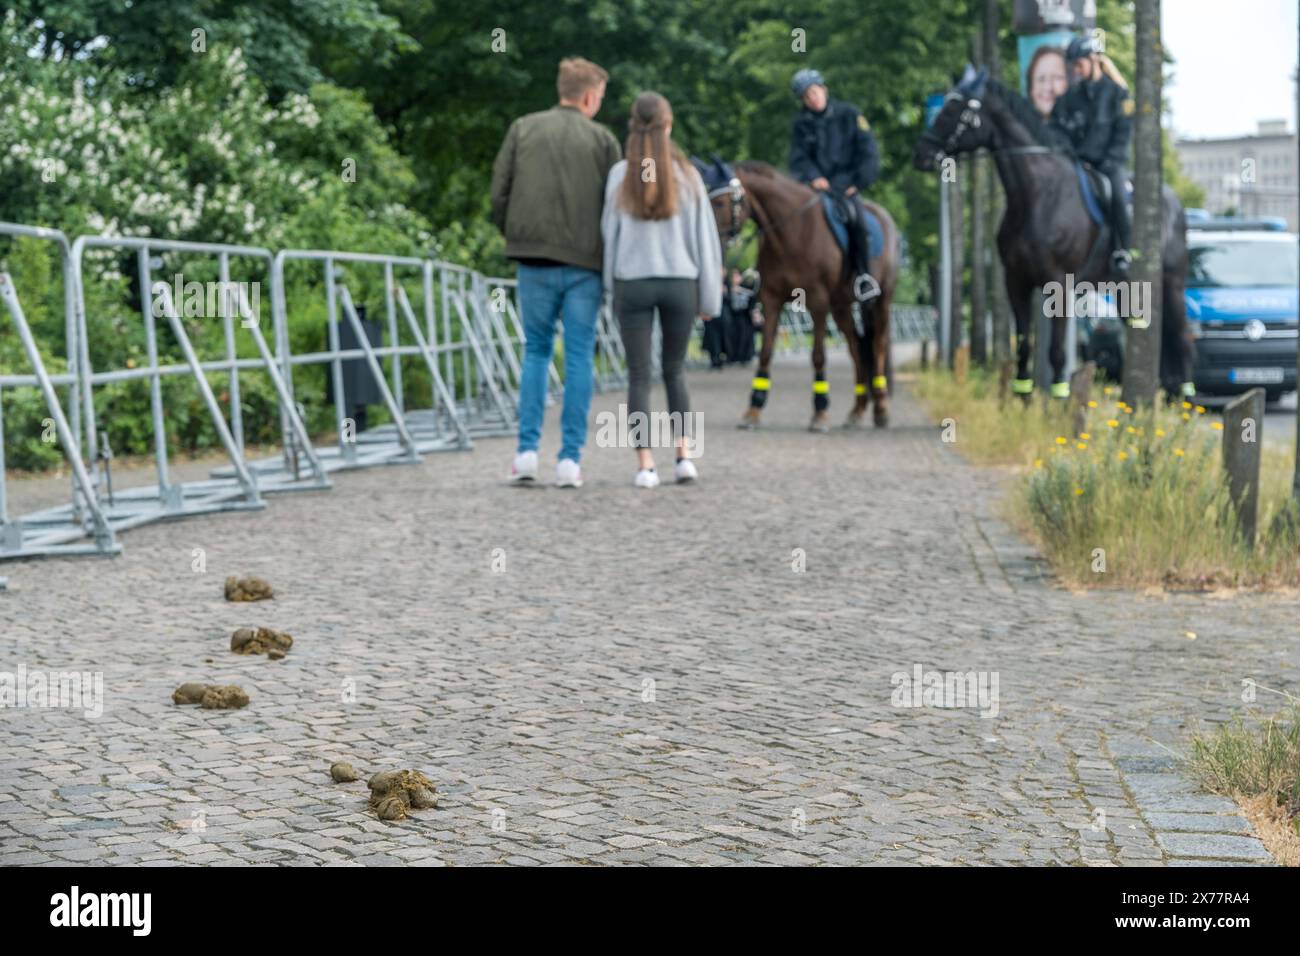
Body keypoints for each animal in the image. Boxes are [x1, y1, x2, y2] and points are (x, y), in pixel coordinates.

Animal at [696, 158, 899, 429]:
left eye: (719, 202)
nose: (708, 242)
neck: (791, 233)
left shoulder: (817, 302)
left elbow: (818, 356)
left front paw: (820, 411)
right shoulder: (771, 301)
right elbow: (765, 353)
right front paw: (754, 409)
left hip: (880, 301)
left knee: (877, 346)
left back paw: (882, 408)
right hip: (841, 306)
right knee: (856, 347)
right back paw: (857, 410)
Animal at [909, 70, 1190, 398]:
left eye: (955, 109)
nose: (921, 153)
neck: (1037, 197)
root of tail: (1174, 202)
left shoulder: (1059, 284)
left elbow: (1056, 352)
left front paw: (1058, 398)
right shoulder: (1016, 281)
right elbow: (1022, 347)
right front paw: (1021, 398)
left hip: (1171, 283)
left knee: (1182, 336)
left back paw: (1185, 398)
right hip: (1124, 290)